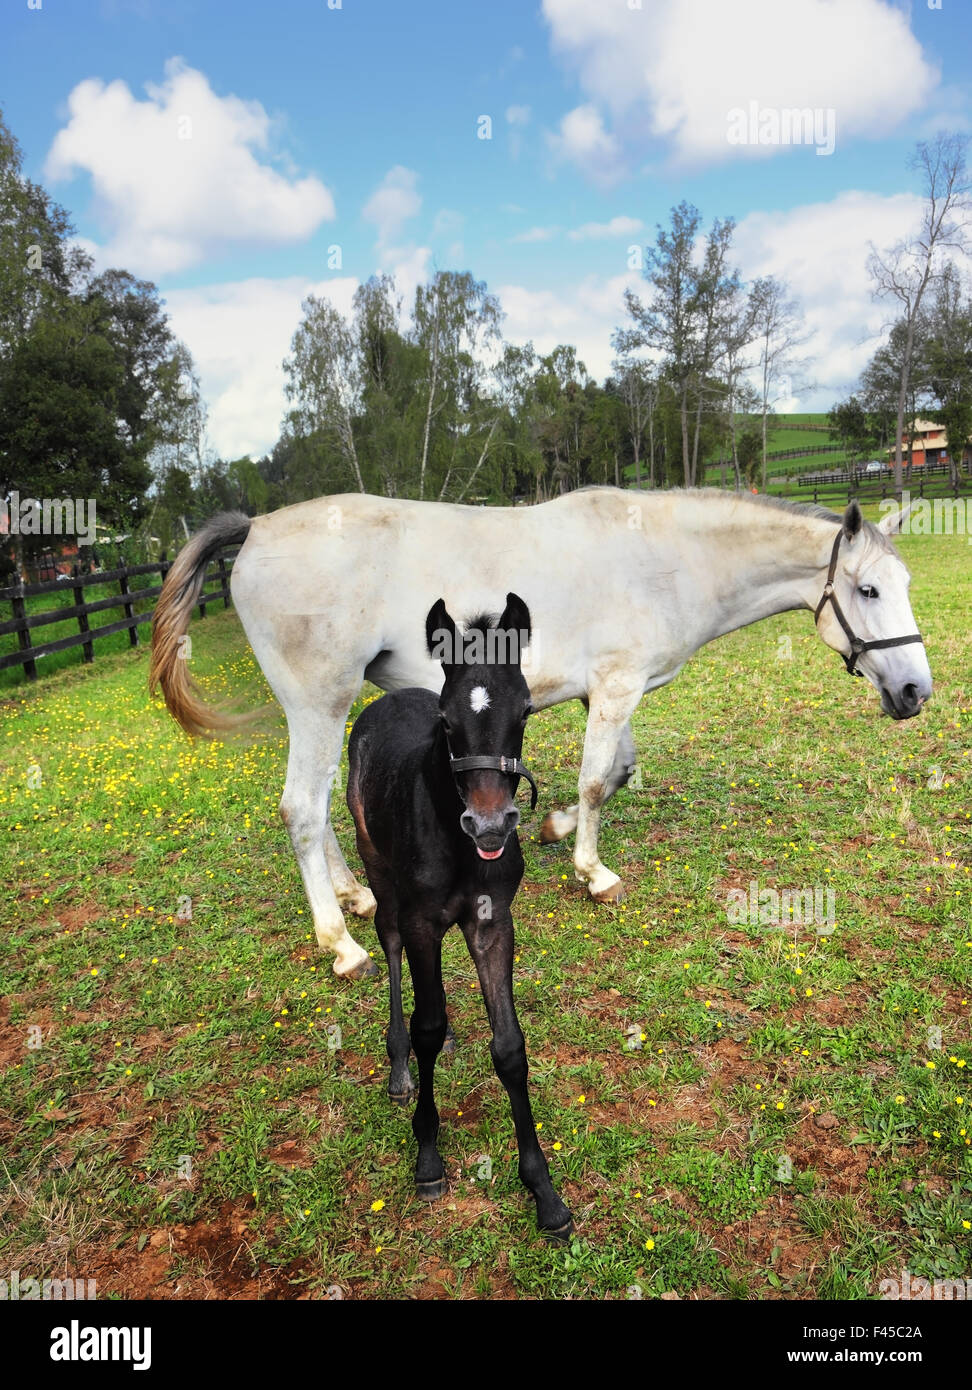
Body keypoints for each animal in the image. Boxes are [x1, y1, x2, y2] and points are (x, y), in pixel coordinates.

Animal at [150, 487, 931, 981]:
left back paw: (353, 896)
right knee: (302, 812)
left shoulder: (604, 695)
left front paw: (555, 829)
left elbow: (616, 771)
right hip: (320, 702)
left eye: (902, 585)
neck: (663, 557)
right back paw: (340, 942)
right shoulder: (616, 688)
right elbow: (596, 781)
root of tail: (256, 528)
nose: (916, 692)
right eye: (867, 590)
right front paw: (593, 871)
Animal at [345, 592, 572, 1237]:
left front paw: (543, 1191)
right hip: (377, 870)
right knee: (390, 943)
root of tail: (389, 698)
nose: (491, 826)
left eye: (525, 710)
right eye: (446, 721)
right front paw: (427, 1157)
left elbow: (510, 1046)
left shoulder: (494, 923)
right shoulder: (422, 920)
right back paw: (399, 1067)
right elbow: (426, 1023)